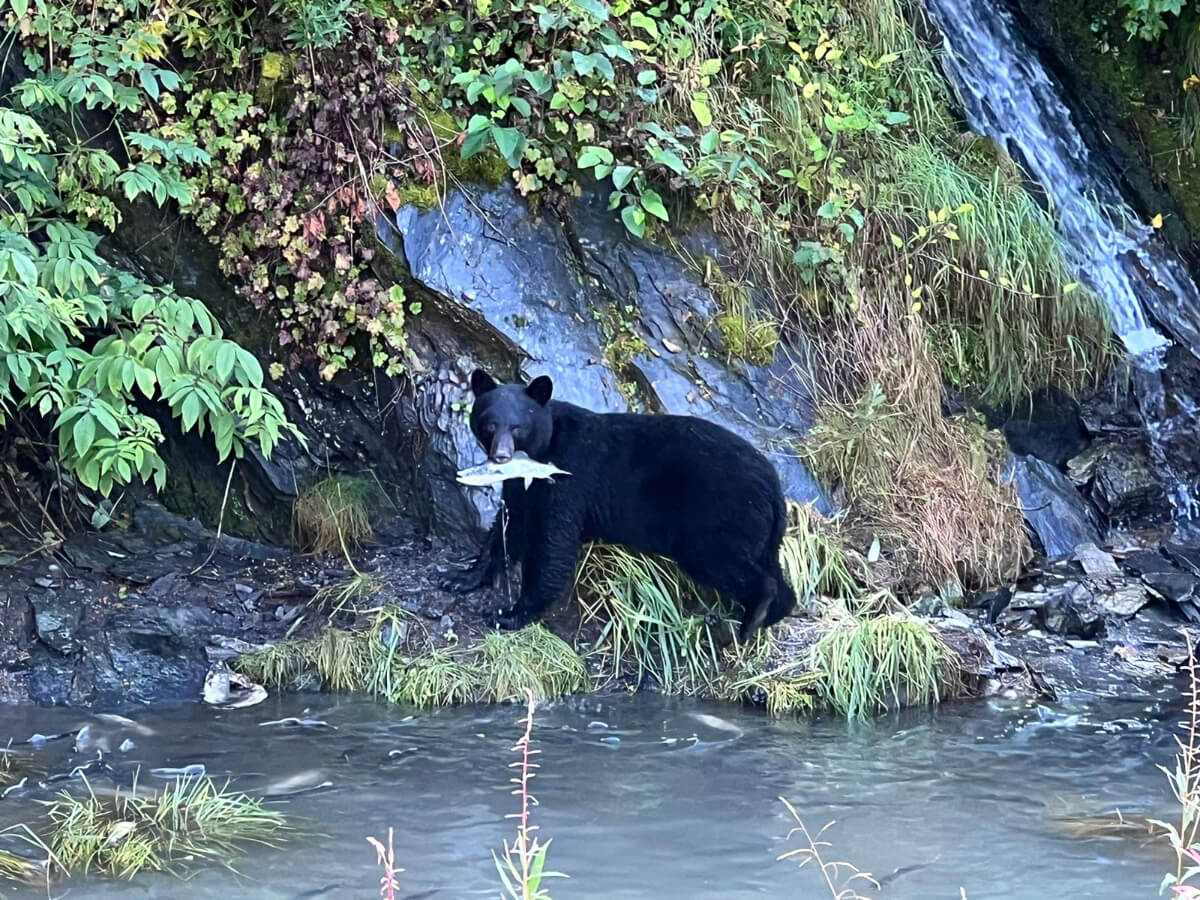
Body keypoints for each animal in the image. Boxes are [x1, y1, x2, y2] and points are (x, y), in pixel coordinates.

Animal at [441, 372, 796, 643]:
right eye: (489, 424)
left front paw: (511, 613)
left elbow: (553, 546)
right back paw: (767, 614)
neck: (543, 451)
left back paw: (752, 617)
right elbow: (510, 528)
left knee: (727, 563)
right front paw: (460, 578)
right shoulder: (522, 489)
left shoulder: (568, 481)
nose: (501, 456)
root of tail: (775, 490)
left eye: (517, 427)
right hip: (757, 531)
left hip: (719, 517)